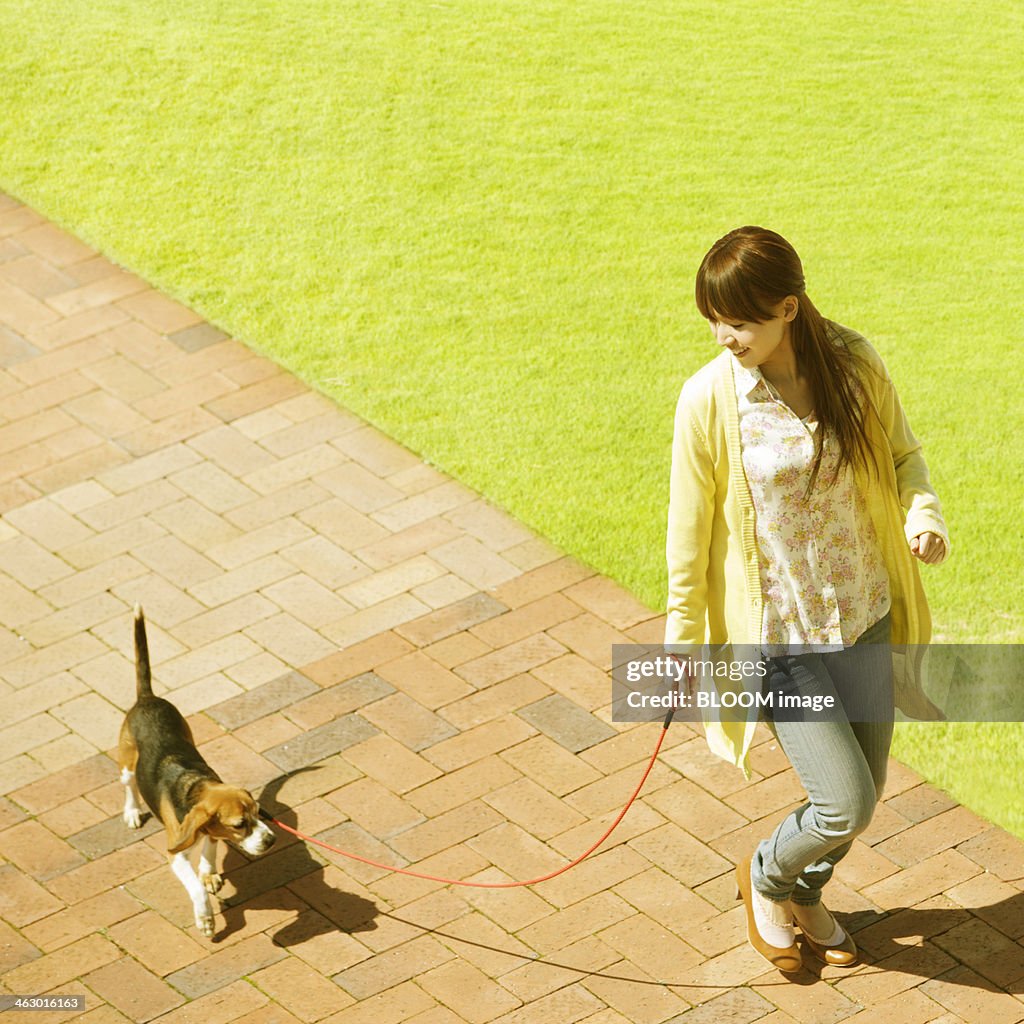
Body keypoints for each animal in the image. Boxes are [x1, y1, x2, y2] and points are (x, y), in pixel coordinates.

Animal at [118, 606, 276, 937]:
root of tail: (147, 698)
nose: (271, 840)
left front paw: (208, 871)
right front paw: (206, 917)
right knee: (129, 786)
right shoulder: (175, 854)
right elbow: (196, 888)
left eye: (258, 812)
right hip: (126, 765)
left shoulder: (209, 831)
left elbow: (210, 849)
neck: (197, 786)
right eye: (240, 823)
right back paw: (132, 812)